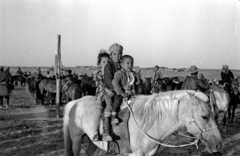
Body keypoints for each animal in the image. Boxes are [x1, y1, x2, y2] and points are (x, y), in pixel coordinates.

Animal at [64, 90, 223, 156]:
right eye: (204, 116)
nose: (219, 144)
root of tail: (74, 103)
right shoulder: (135, 154)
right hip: (76, 139)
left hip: (92, 141)